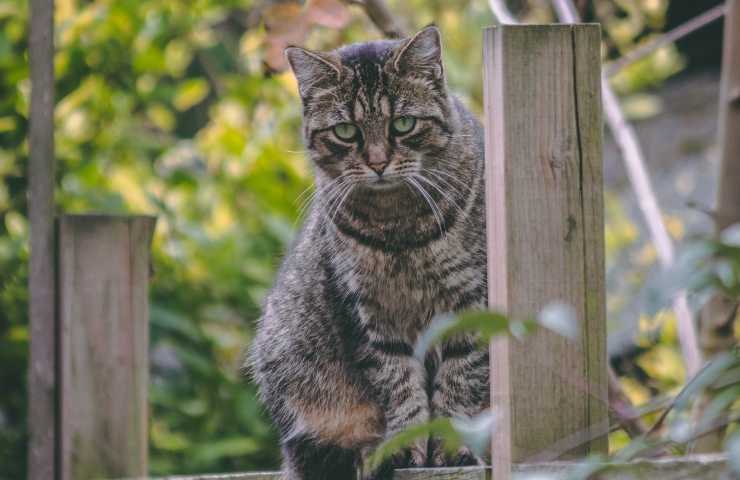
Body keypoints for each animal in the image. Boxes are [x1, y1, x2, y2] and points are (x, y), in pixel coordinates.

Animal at [250, 26, 492, 480]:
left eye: (403, 124)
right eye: (346, 132)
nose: (378, 162)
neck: (398, 230)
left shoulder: (472, 302)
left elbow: (461, 378)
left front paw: (453, 449)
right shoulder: (367, 314)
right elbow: (398, 388)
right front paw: (404, 449)